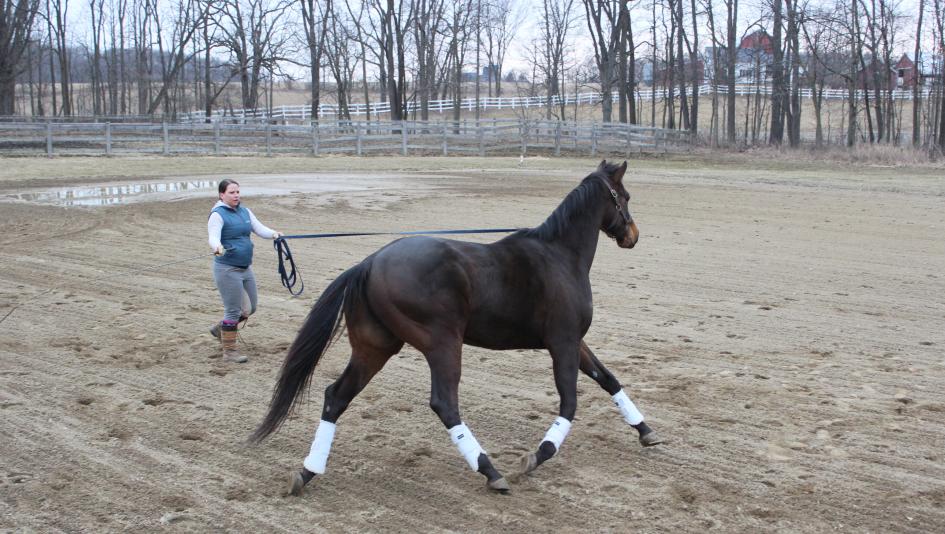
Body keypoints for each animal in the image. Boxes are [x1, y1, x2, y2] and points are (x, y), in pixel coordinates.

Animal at [254, 161, 660, 496]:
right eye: (624, 196)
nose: (633, 234)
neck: (559, 256)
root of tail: (369, 263)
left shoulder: (574, 342)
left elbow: (608, 379)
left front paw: (646, 432)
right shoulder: (562, 342)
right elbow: (570, 403)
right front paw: (535, 457)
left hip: (375, 348)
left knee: (336, 397)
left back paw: (307, 472)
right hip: (443, 343)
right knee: (445, 403)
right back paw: (489, 470)